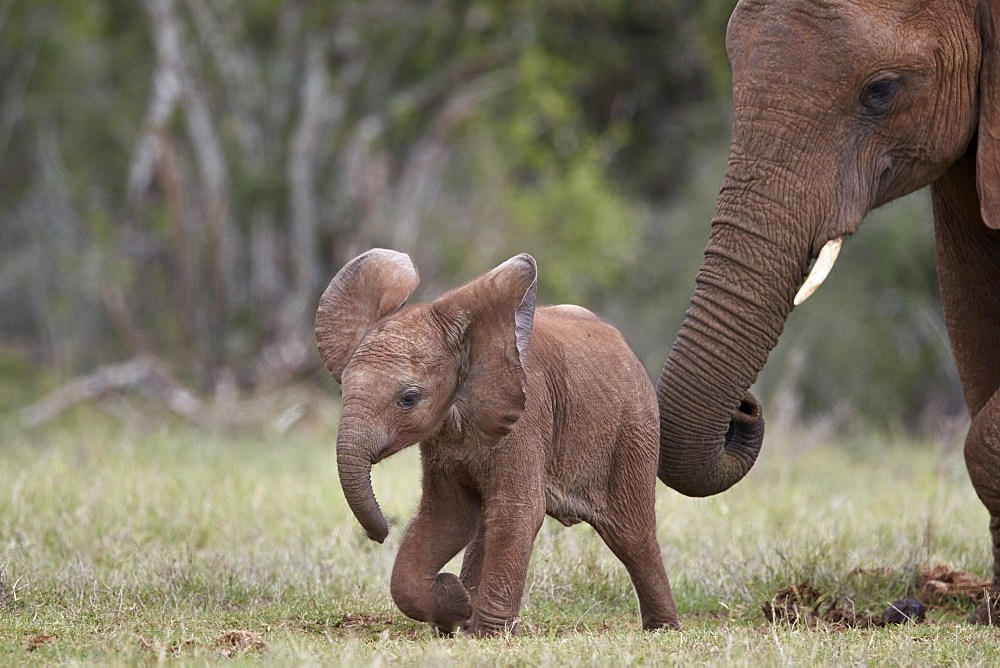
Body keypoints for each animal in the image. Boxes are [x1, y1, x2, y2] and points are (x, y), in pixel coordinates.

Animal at [320, 248, 680, 636]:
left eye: (409, 399)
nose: (382, 534)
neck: (473, 344)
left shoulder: (525, 421)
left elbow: (517, 511)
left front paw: (484, 634)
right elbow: (447, 516)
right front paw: (456, 606)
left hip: (633, 431)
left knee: (632, 533)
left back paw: (662, 629)